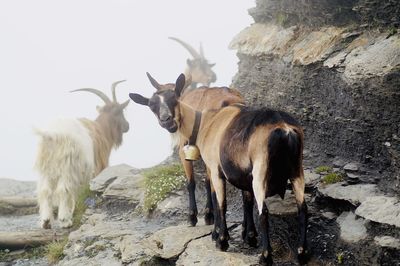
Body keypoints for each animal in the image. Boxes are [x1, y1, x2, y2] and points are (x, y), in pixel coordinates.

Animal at [34, 81, 129, 229]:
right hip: (67, 167)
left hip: (46, 168)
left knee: (45, 190)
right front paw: (70, 215)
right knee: (63, 189)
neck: (101, 129)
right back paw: (64, 221)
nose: (127, 126)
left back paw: (46, 221)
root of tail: (53, 135)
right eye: (121, 111)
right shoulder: (96, 169)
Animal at [130, 73, 308, 266]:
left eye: (174, 98)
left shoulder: (214, 168)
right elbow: (245, 200)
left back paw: (265, 257)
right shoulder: (242, 174)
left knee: (264, 213)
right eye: (151, 105)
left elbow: (218, 199)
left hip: (261, 171)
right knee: (302, 209)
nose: (166, 120)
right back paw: (301, 253)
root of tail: (284, 128)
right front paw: (248, 236)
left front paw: (220, 238)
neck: (206, 122)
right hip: (296, 170)